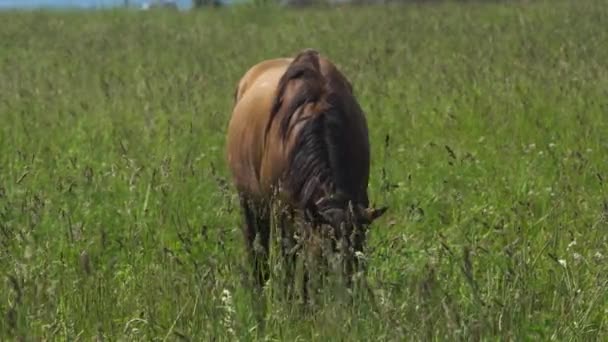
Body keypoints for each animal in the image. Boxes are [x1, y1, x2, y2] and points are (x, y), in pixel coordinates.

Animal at [226, 48, 388, 302]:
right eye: (321, 257)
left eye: (358, 256)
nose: (346, 301)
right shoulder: (284, 215)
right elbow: (291, 264)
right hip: (250, 203)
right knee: (257, 248)